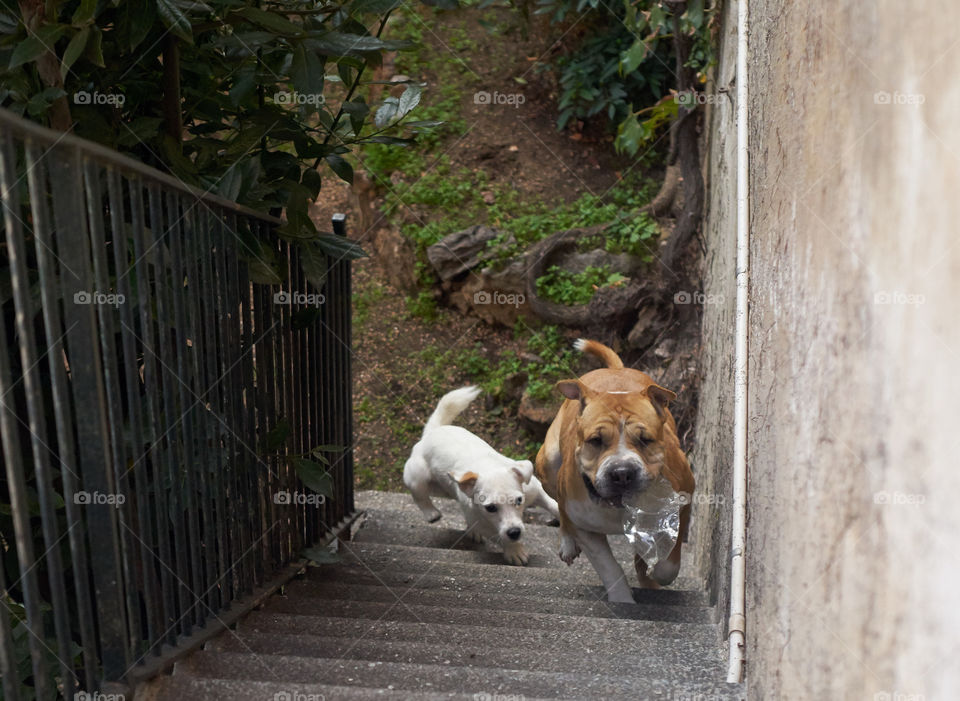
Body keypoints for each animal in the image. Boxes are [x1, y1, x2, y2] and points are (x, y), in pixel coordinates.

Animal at [402, 386, 560, 568]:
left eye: (519, 500)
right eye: (490, 508)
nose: (514, 532)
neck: (488, 466)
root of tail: (432, 431)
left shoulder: (535, 489)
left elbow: (552, 504)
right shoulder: (484, 523)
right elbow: (500, 536)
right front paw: (514, 550)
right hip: (417, 476)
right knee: (420, 496)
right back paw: (432, 513)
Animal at [536, 340, 692, 600]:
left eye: (645, 440)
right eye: (595, 440)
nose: (622, 472)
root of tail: (616, 369)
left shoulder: (681, 503)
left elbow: (668, 563)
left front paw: (652, 571)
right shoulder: (585, 528)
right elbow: (608, 567)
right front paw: (622, 599)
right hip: (548, 464)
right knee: (560, 504)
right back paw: (567, 542)